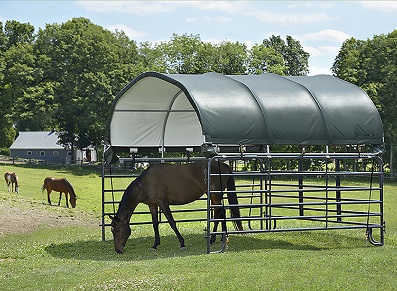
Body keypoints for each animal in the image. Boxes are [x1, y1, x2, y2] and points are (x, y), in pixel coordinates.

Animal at [110, 161, 243, 254]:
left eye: (116, 229)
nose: (118, 250)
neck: (146, 183)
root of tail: (223, 165)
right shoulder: (153, 206)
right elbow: (155, 224)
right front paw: (155, 245)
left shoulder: (163, 203)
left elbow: (172, 222)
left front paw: (182, 244)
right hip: (214, 197)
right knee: (221, 212)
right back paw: (221, 237)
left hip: (215, 196)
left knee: (218, 213)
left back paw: (213, 239)